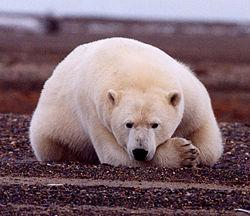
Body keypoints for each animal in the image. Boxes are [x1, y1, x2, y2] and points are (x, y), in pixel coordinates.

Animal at [29, 37, 223, 168]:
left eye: (155, 124)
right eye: (128, 124)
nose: (140, 151)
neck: (138, 70)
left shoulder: (190, 96)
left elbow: (208, 144)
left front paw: (195, 151)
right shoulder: (96, 112)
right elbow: (114, 155)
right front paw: (184, 152)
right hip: (51, 132)